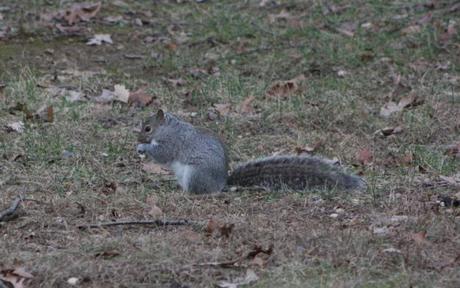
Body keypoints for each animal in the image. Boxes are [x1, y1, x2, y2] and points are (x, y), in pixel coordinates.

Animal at [136, 110, 366, 194]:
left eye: (147, 128)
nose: (138, 139)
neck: (168, 127)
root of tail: (222, 183)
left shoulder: (173, 142)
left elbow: (163, 154)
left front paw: (143, 148)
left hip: (195, 174)